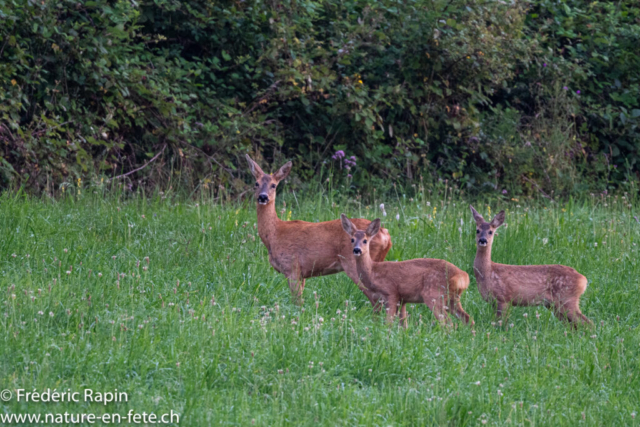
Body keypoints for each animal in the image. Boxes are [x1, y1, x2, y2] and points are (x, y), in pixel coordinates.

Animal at [248, 155, 392, 306]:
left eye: (274, 185)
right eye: (256, 183)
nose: (263, 197)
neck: (274, 234)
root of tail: (385, 234)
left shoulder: (292, 267)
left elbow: (296, 302)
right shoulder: (303, 274)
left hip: (355, 263)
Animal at [340, 214, 470, 328]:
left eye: (365, 240)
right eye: (352, 239)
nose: (357, 250)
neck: (373, 273)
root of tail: (463, 276)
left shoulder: (391, 293)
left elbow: (389, 323)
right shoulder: (402, 300)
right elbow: (404, 325)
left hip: (434, 294)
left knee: (448, 323)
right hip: (453, 298)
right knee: (467, 318)